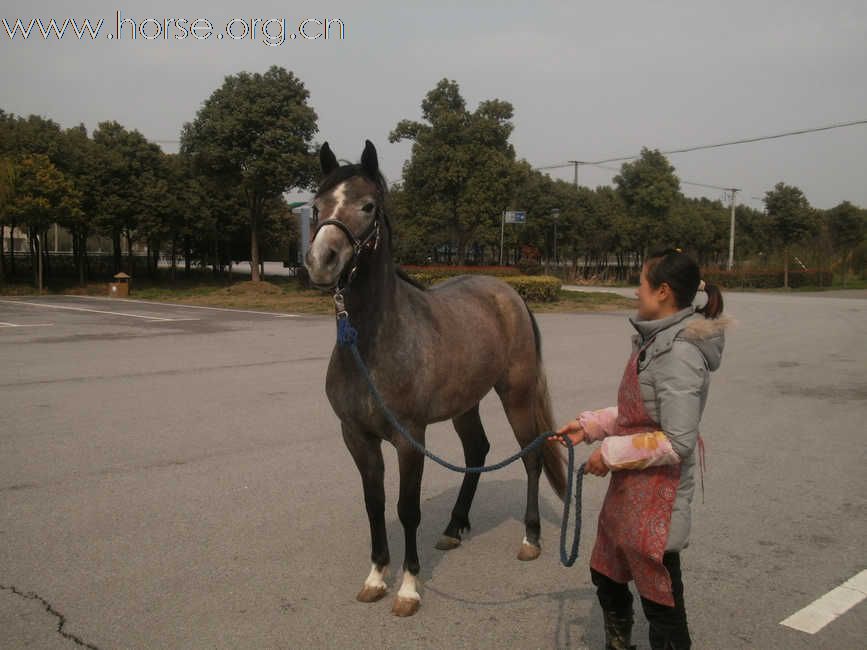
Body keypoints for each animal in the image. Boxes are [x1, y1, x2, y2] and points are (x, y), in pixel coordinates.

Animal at [306, 139, 568, 616]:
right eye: (316, 206)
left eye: (368, 206)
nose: (322, 261)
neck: (372, 346)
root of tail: (509, 293)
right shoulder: (356, 436)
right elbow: (375, 505)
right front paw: (376, 577)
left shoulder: (410, 438)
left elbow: (407, 508)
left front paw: (409, 588)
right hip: (466, 404)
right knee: (478, 450)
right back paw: (453, 527)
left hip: (517, 395)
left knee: (531, 457)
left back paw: (531, 537)